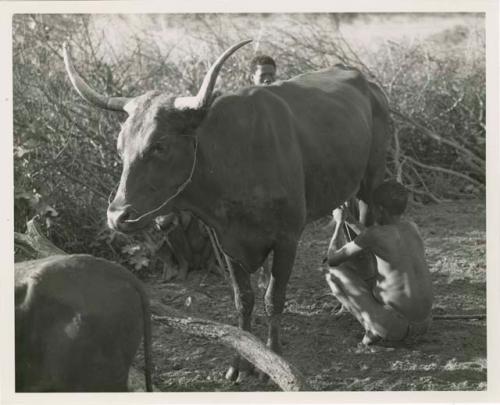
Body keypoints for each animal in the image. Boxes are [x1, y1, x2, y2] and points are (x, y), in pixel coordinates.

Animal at [63, 39, 390, 380]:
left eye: (160, 145)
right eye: (119, 147)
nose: (118, 216)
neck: (235, 155)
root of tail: (365, 82)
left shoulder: (287, 238)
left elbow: (274, 298)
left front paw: (274, 359)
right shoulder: (227, 241)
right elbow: (242, 299)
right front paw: (241, 363)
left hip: (371, 181)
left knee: (367, 230)